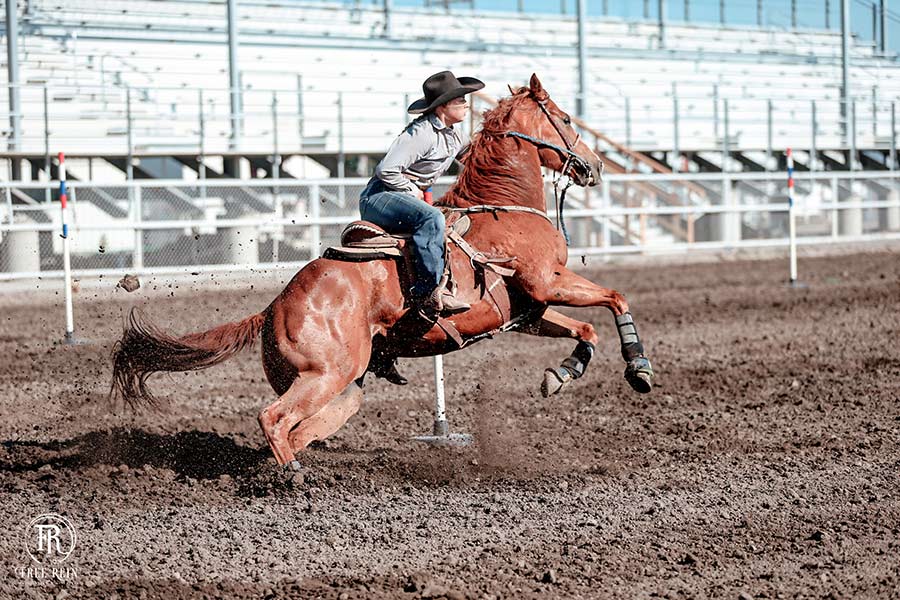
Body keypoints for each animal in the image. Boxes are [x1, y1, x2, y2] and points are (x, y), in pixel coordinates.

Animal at [111, 74, 654, 471]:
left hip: (342, 384)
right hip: (328, 374)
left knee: (301, 427)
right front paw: (639, 369)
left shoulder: (529, 309)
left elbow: (585, 329)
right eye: (564, 117)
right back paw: (291, 476)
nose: (594, 166)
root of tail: (274, 307)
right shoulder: (547, 282)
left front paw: (560, 375)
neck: (504, 207)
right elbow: (617, 297)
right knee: (273, 418)